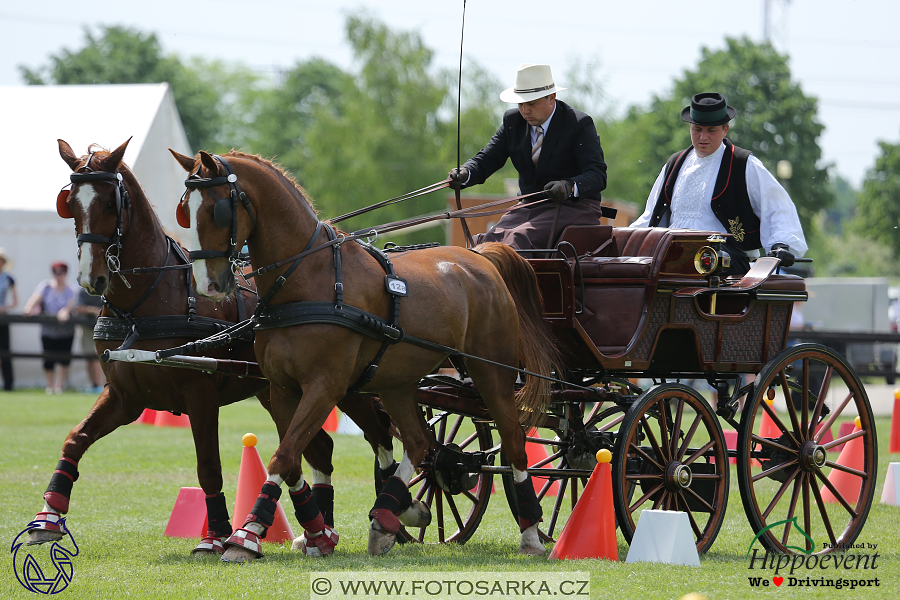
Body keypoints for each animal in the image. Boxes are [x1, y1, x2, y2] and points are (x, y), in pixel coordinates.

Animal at [28, 138, 396, 556]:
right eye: (70, 203)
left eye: (109, 202)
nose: (92, 279)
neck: (145, 303)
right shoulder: (124, 396)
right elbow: (75, 440)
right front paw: (47, 517)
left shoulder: (199, 395)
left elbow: (209, 466)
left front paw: (217, 534)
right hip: (275, 390)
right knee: (318, 448)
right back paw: (320, 531)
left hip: (344, 385)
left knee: (378, 435)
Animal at [171, 149, 560, 556]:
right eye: (185, 210)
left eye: (217, 210)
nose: (208, 284)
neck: (309, 281)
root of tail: (480, 258)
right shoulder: (282, 389)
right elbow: (292, 458)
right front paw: (309, 531)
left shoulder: (324, 387)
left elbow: (285, 454)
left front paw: (246, 535)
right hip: (397, 383)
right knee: (419, 443)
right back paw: (393, 512)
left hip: (491, 372)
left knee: (513, 440)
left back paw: (530, 533)